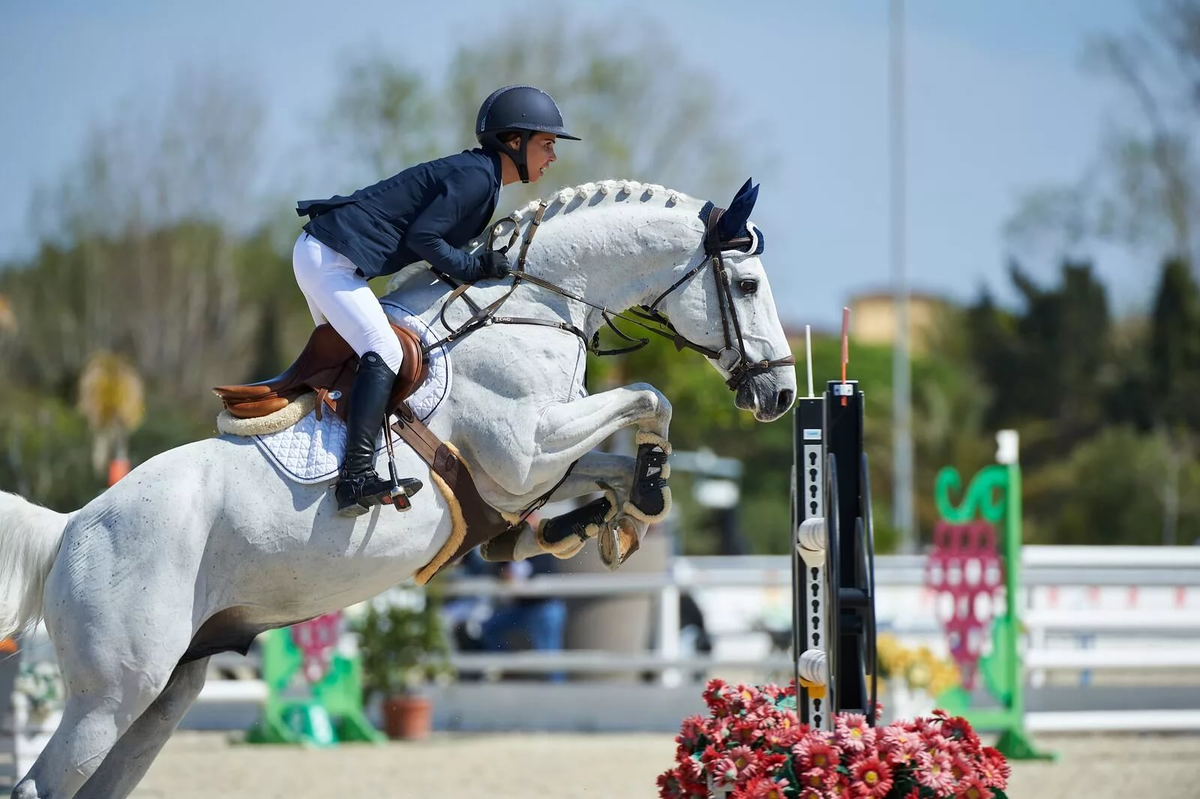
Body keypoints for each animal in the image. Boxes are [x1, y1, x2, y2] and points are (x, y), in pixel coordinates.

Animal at [2, 177, 796, 791]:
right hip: (113, 692)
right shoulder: (525, 449)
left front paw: (605, 517)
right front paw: (642, 494)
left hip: (166, 690)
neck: (533, 307)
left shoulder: (529, 466)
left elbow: (604, 462)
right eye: (748, 284)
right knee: (44, 782)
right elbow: (648, 398)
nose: (782, 395)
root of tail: (72, 527)